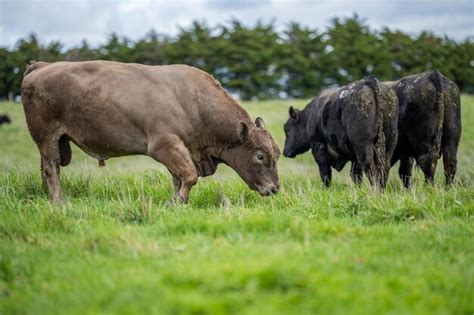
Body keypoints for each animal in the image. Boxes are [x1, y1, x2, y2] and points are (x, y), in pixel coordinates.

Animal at [22, 60, 280, 204]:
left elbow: (179, 178)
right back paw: (58, 201)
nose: (275, 188)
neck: (193, 102)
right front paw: (176, 202)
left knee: (46, 168)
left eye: (276, 154)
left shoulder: (180, 151)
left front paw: (178, 201)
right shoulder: (164, 146)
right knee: (52, 168)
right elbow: (189, 176)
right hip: (47, 137)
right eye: (260, 155)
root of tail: (40, 67)